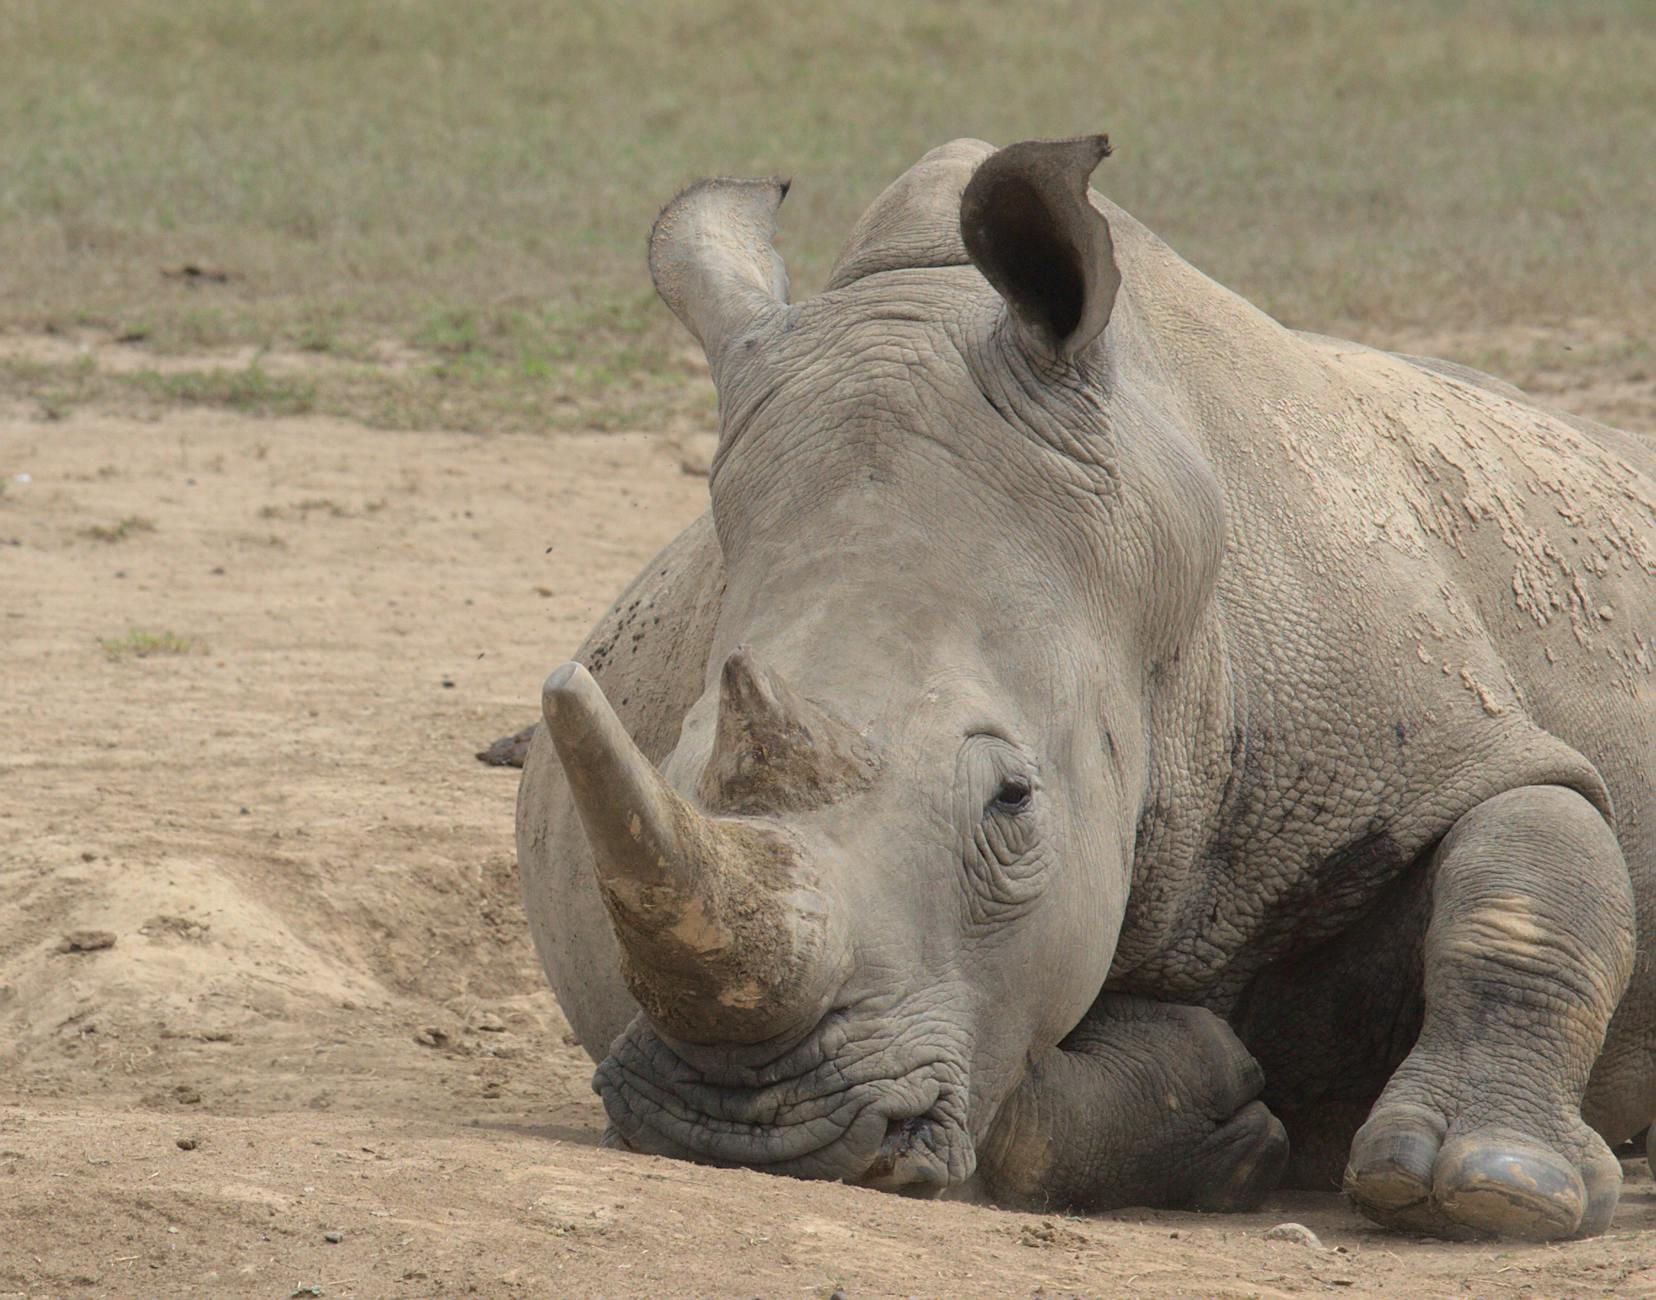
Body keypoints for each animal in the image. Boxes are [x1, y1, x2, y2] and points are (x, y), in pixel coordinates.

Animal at [516, 136, 1655, 1240]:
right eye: (671, 762)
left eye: (1013, 801)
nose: (741, 1119)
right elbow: (1018, 1103)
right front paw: (1217, 1103)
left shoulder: (1447, 740)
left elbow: (1530, 869)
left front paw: (1492, 1187)